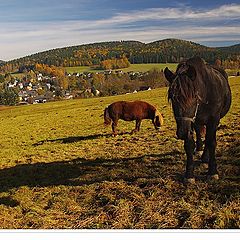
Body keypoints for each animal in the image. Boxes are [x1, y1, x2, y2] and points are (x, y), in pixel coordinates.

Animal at [164, 56, 232, 184]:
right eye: (171, 98)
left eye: (194, 97)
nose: (182, 132)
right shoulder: (190, 122)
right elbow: (189, 145)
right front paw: (189, 174)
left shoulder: (213, 120)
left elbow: (211, 142)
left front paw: (212, 172)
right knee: (200, 133)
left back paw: (205, 158)